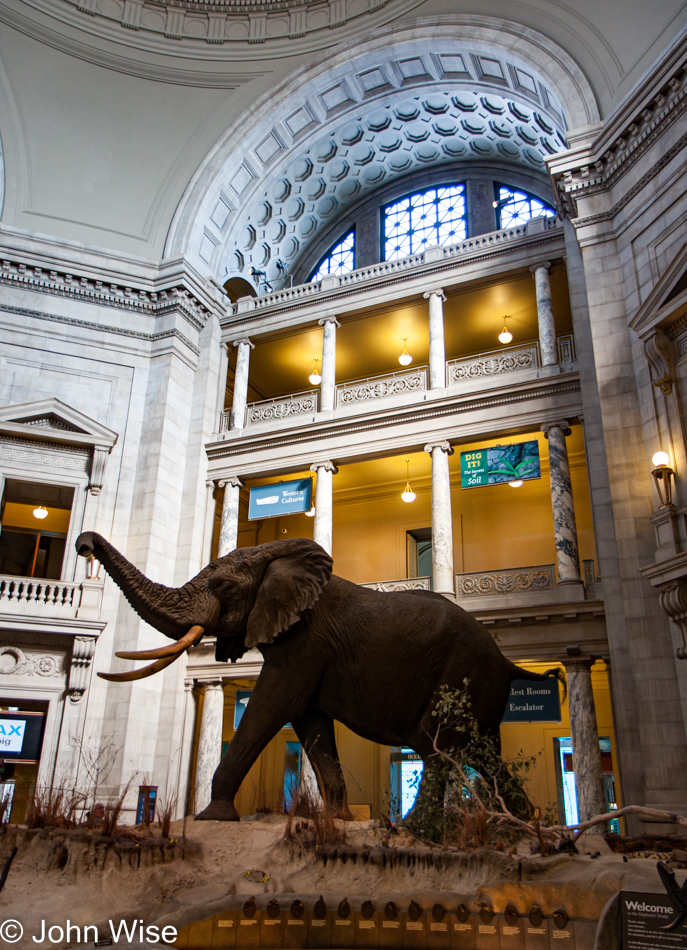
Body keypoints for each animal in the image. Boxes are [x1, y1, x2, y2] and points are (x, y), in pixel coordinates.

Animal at [75, 532, 564, 820]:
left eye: (224, 587)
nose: (84, 545)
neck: (273, 558)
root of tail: (508, 662)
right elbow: (310, 726)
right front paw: (337, 821)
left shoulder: (304, 645)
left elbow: (271, 707)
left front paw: (212, 818)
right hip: (482, 688)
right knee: (486, 755)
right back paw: (524, 831)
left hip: (462, 673)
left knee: (437, 749)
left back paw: (413, 834)